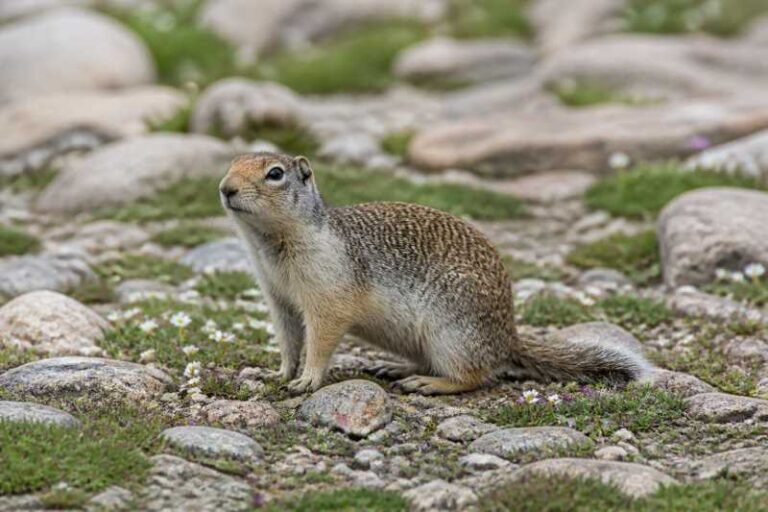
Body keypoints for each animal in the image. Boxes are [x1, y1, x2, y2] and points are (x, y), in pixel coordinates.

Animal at [219, 152, 654, 395]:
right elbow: (289, 341)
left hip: (451, 331)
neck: (271, 245)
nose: (225, 188)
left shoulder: (328, 296)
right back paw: (396, 367)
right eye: (231, 163)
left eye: (275, 174)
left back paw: (428, 383)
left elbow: (320, 341)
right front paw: (278, 372)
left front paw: (308, 380)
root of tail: (508, 339)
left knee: (474, 376)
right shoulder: (278, 298)